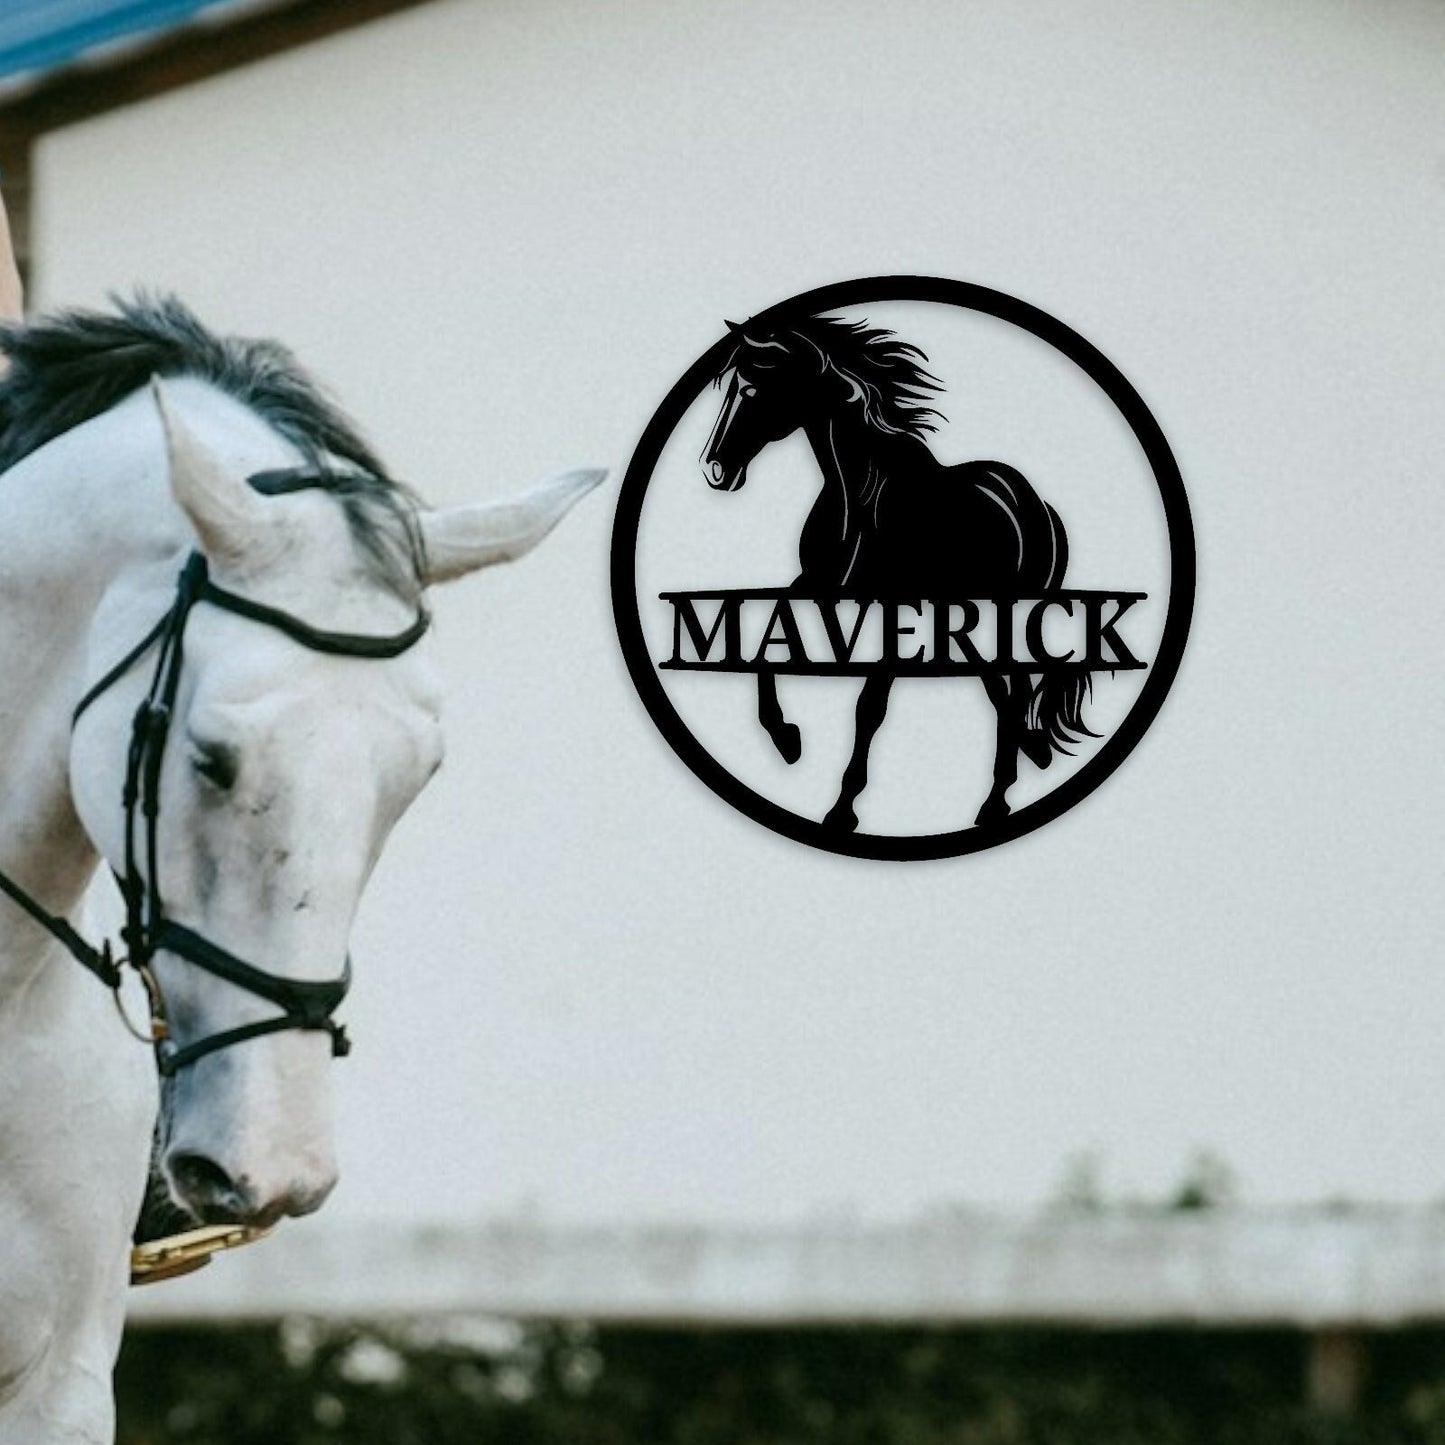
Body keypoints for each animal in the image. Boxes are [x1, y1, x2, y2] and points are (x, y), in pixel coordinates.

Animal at [700, 314, 1092, 832]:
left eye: (751, 388)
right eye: (729, 385)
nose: (714, 470)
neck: (861, 502)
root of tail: (1038, 503)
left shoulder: (890, 612)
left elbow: (869, 709)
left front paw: (842, 809)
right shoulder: (818, 591)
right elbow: (768, 650)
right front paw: (788, 741)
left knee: (1013, 694)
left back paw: (999, 797)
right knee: (1003, 696)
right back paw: (1013, 780)